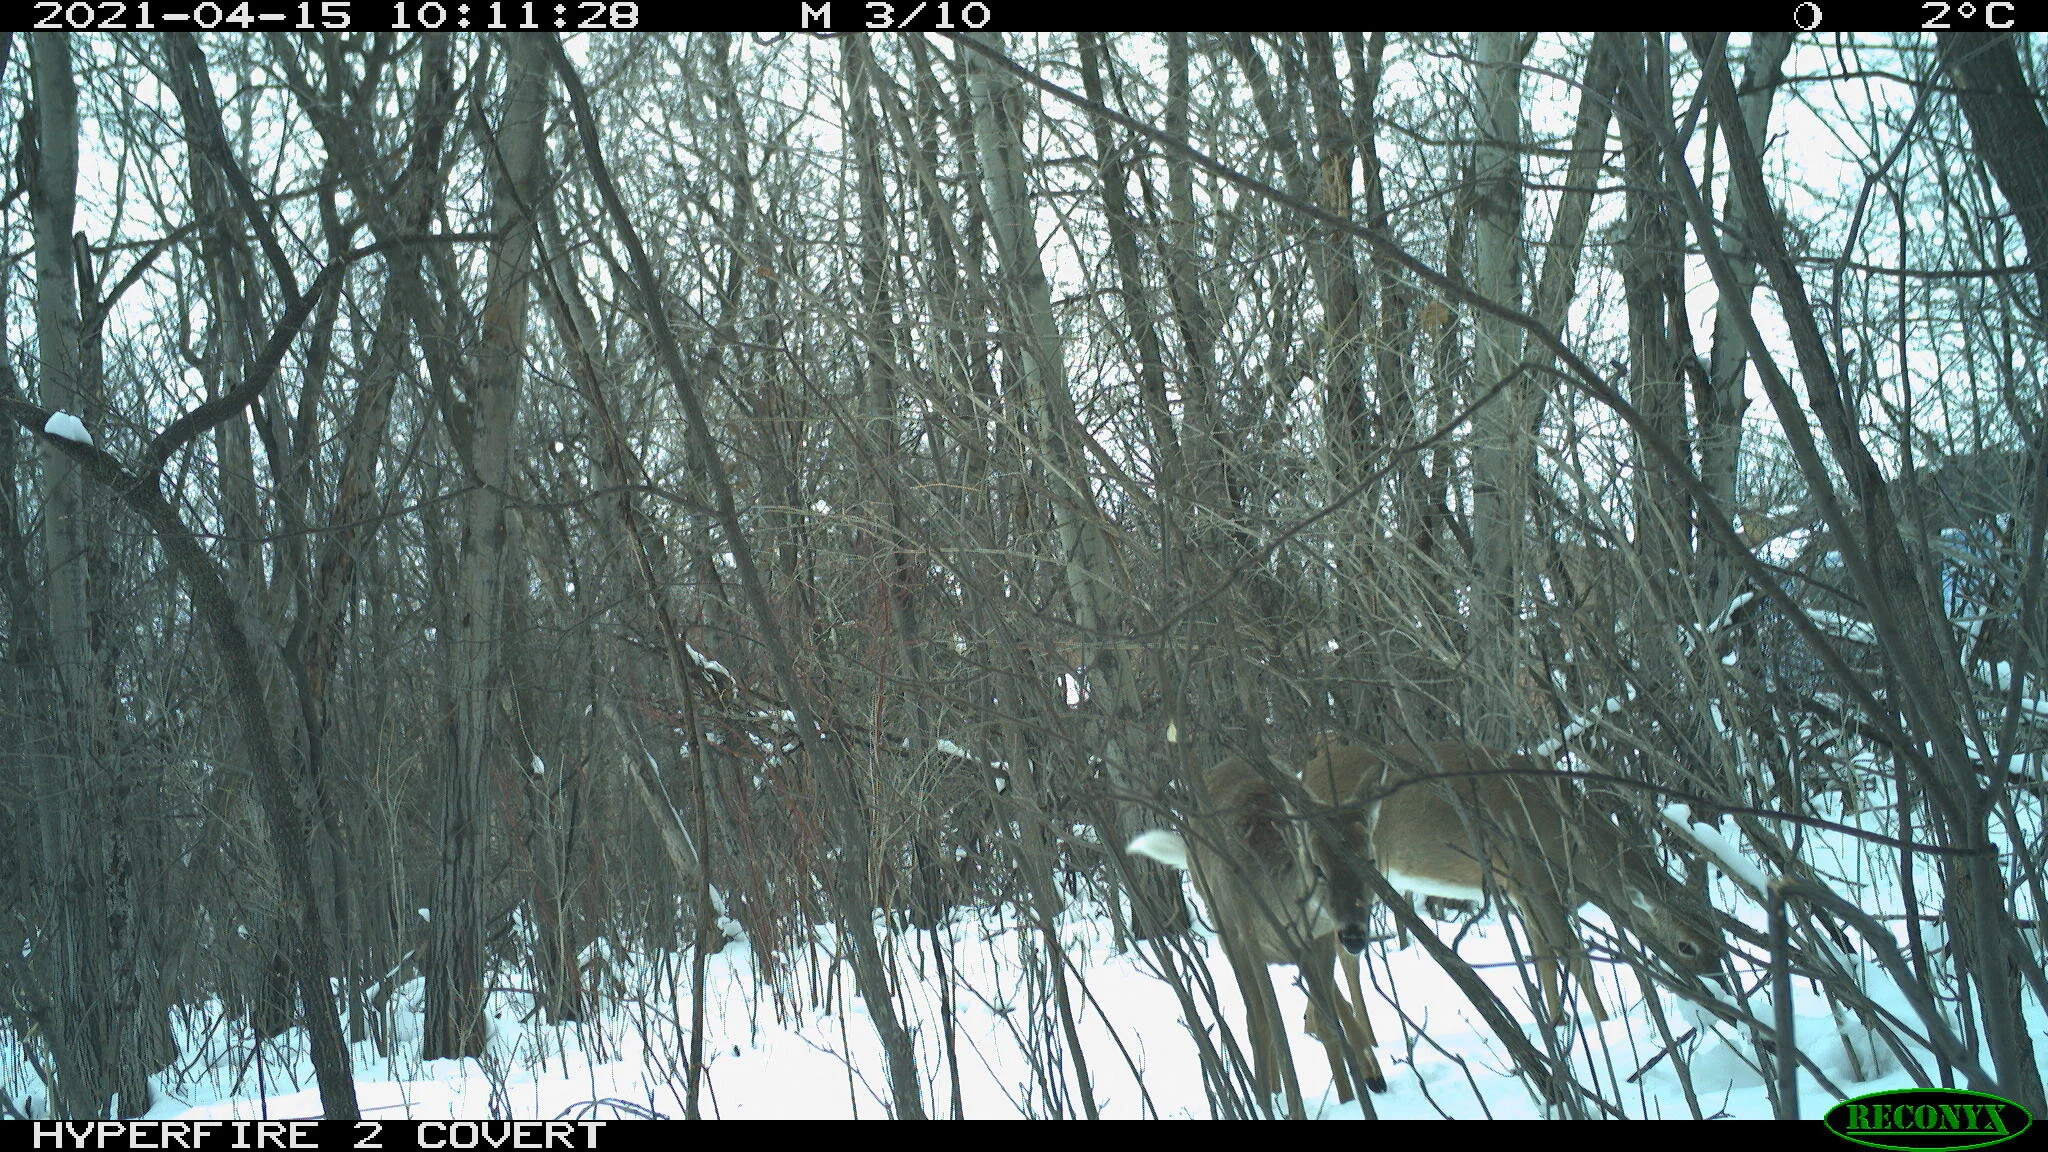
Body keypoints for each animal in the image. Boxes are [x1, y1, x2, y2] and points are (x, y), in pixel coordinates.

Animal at [1127, 756, 1387, 1107]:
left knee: (1326, 1009)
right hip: (1220, 917)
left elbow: (1327, 1022)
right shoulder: (1239, 937)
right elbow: (1261, 1025)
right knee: (1264, 1019)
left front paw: (1347, 1100)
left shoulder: (1317, 944)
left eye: (1370, 861)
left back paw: (1370, 1074)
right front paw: (1267, 1100)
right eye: (1318, 867)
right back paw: (1275, 1092)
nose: (1354, 935)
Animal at [1299, 742, 1725, 1026]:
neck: (1574, 847)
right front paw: (1600, 1026)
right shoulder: (1534, 878)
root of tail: (1305, 771)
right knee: (1344, 953)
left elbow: (1544, 958)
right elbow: (1574, 957)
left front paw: (1557, 1022)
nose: (1718, 980)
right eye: (1686, 946)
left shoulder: (1522, 892)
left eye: (1719, 935)